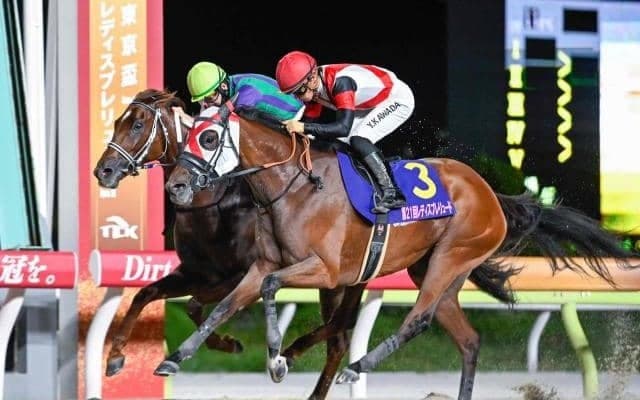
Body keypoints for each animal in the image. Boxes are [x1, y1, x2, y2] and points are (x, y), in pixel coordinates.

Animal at [161, 109, 638, 400]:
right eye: (186, 138)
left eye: (209, 137)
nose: (176, 186)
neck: (294, 189)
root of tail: (490, 193)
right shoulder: (264, 263)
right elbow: (225, 304)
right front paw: (175, 357)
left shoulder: (327, 271)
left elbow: (270, 287)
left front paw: (278, 358)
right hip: (436, 269)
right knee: (468, 339)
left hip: (450, 256)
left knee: (419, 318)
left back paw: (358, 365)